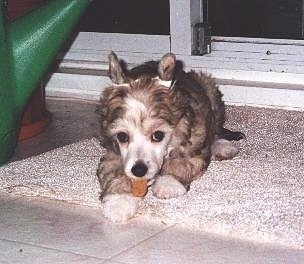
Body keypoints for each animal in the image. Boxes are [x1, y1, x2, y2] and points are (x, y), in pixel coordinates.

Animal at [97, 51, 245, 223]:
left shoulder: (193, 135)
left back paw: (222, 146)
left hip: (209, 91)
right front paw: (119, 202)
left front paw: (168, 183)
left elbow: (183, 158)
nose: (139, 171)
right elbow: (113, 171)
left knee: (215, 129)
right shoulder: (113, 151)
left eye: (158, 135)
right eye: (122, 136)